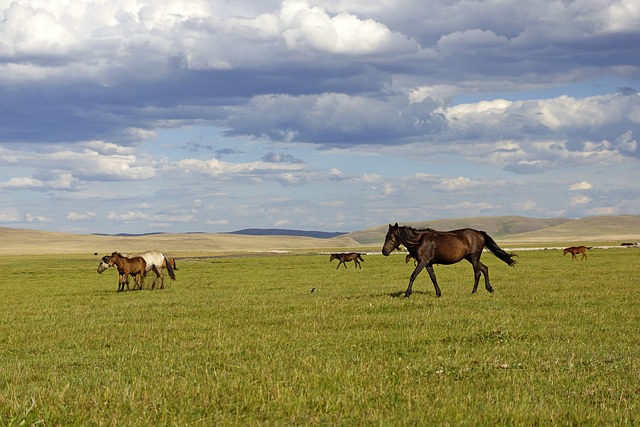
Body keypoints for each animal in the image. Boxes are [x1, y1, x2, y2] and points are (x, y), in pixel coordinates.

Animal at [382, 224, 516, 298]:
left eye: (391, 236)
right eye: (386, 236)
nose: (384, 251)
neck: (419, 241)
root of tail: (479, 233)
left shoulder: (422, 262)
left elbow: (413, 276)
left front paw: (407, 294)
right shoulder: (428, 264)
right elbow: (433, 278)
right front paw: (438, 293)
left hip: (474, 257)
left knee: (477, 273)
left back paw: (473, 292)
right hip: (470, 258)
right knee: (485, 269)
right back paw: (490, 288)